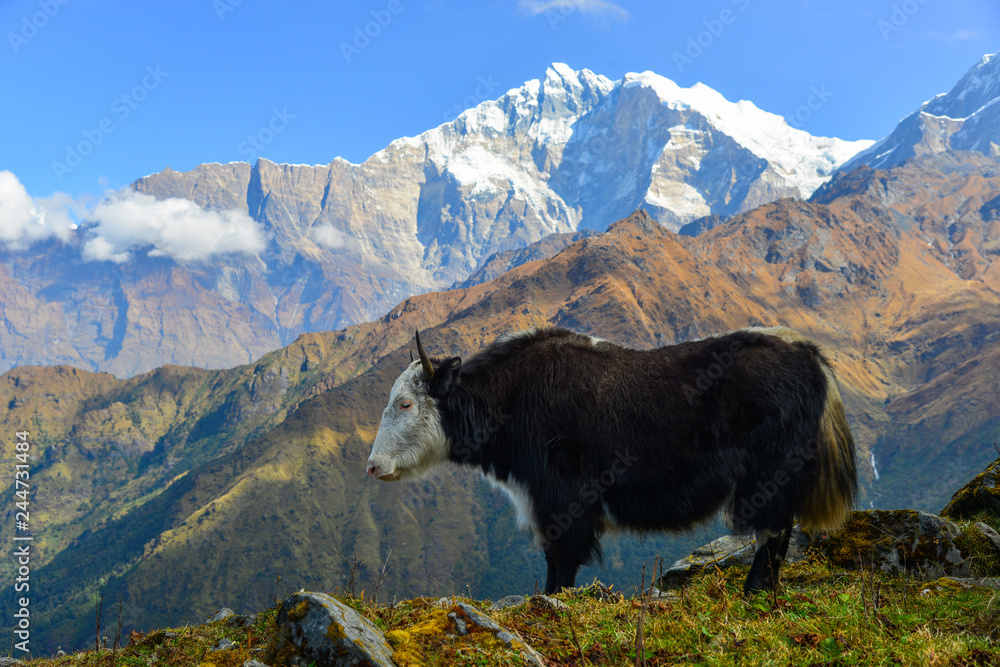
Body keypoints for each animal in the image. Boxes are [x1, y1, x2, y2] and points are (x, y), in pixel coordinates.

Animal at [366, 326, 857, 595]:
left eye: (406, 403)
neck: (511, 398)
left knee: (772, 532)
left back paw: (752, 594)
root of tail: (810, 356)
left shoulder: (562, 498)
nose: (372, 467)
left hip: (769, 476)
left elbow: (560, 558)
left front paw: (551, 601)